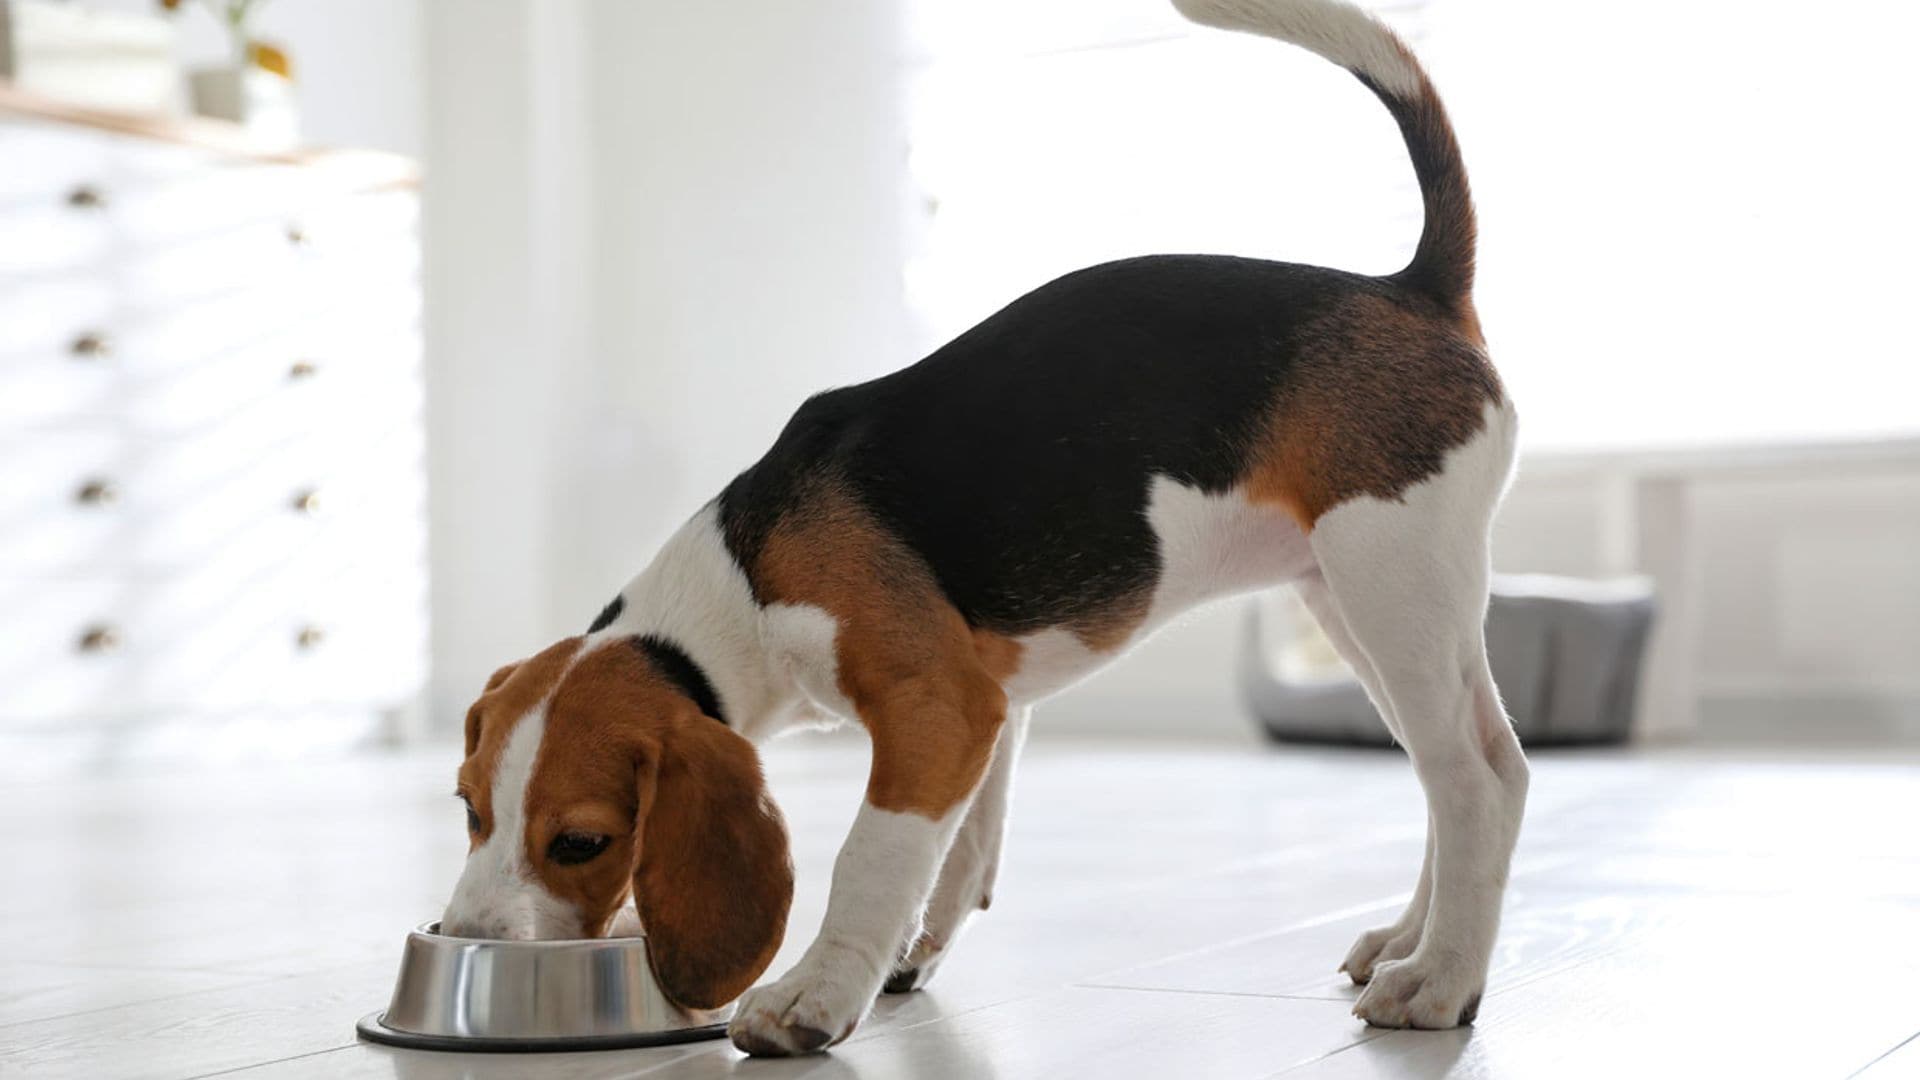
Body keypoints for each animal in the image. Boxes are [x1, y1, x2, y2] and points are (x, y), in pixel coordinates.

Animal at [439, 0, 1528, 1053]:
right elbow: (961, 850)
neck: (741, 579)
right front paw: (904, 955)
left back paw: (1437, 981)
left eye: (581, 842)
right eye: (468, 808)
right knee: (1455, 773)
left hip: (1391, 580)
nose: (466, 940)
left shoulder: (936, 707)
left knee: (1479, 781)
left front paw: (812, 995)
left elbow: (871, 854)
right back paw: (1409, 940)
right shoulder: (987, 704)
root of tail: (1411, 288)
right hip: (1355, 603)